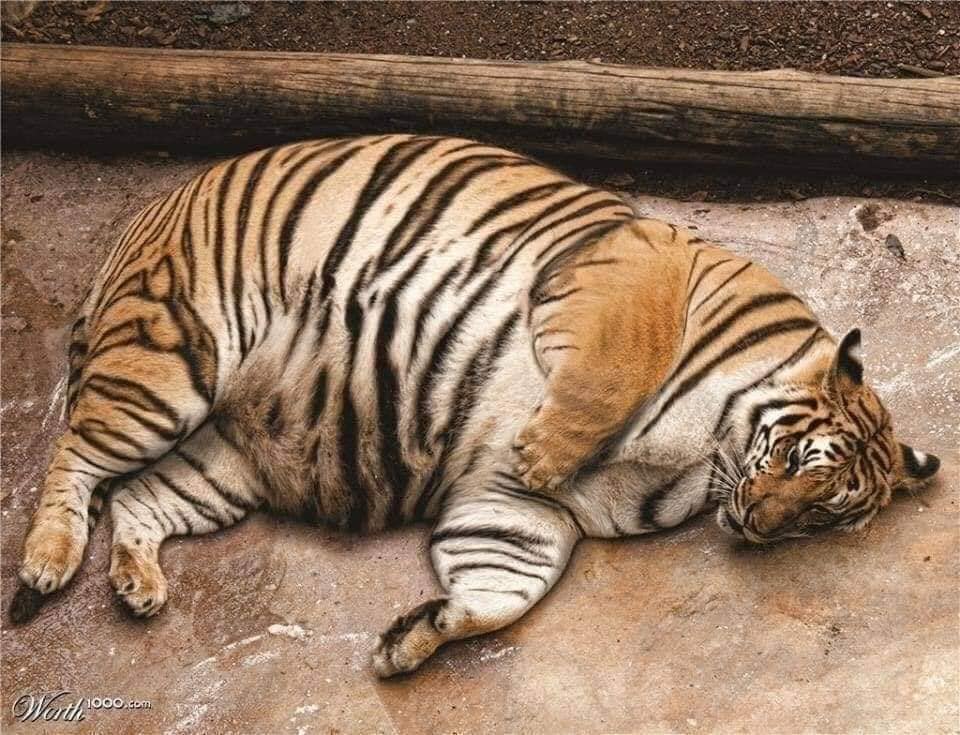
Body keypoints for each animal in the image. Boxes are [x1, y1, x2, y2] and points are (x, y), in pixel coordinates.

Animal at [12, 135, 940, 678]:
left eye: (823, 515)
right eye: (793, 460)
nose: (757, 524)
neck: (710, 458)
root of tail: (144, 216)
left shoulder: (520, 512)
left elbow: (504, 587)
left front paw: (412, 637)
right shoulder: (631, 267)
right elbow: (613, 368)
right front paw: (546, 447)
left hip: (223, 462)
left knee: (136, 498)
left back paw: (136, 584)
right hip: (169, 364)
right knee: (73, 453)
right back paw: (47, 561)